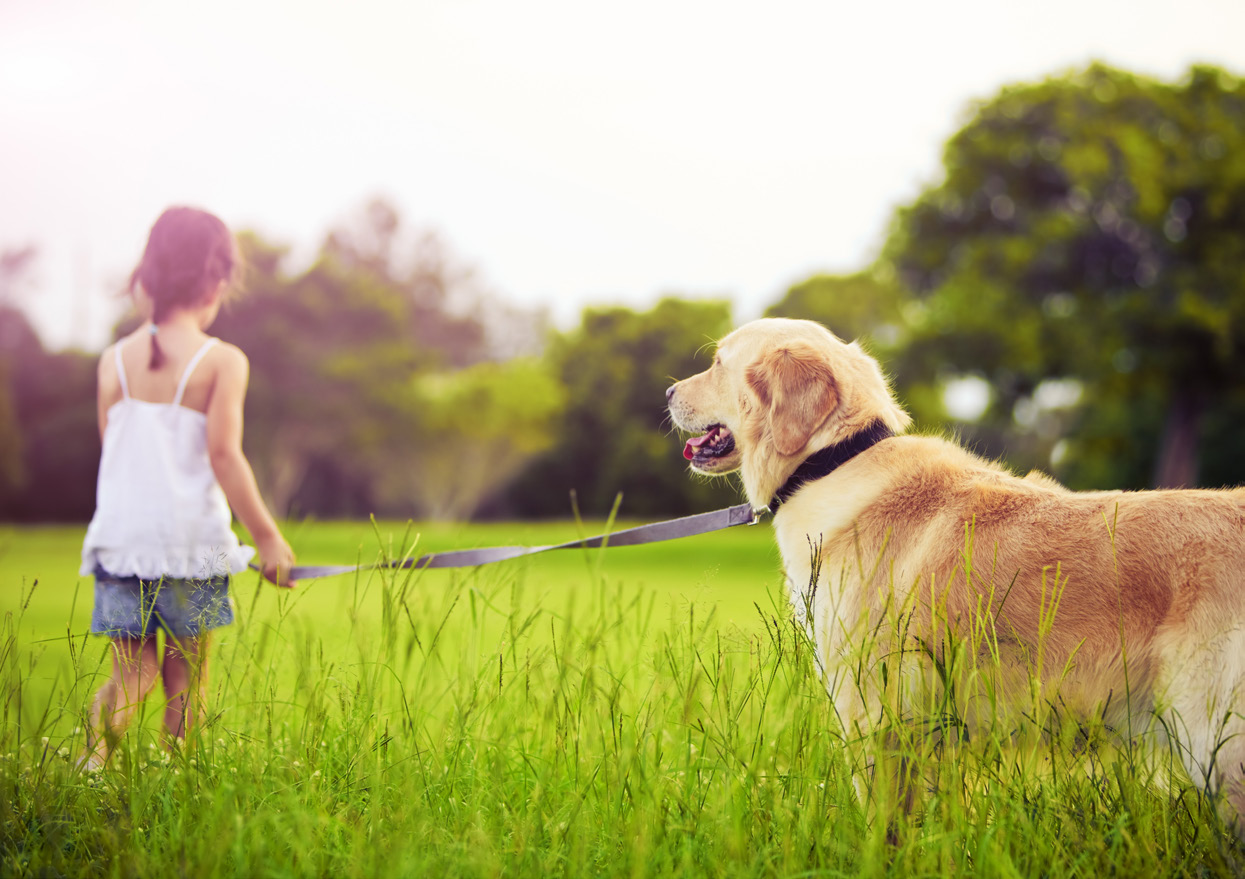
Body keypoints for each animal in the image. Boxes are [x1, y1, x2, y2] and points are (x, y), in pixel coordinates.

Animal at [672, 313, 1245, 826]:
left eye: (718, 362)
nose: (669, 391)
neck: (832, 461)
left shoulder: (871, 710)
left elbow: (881, 826)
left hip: (1214, 740)